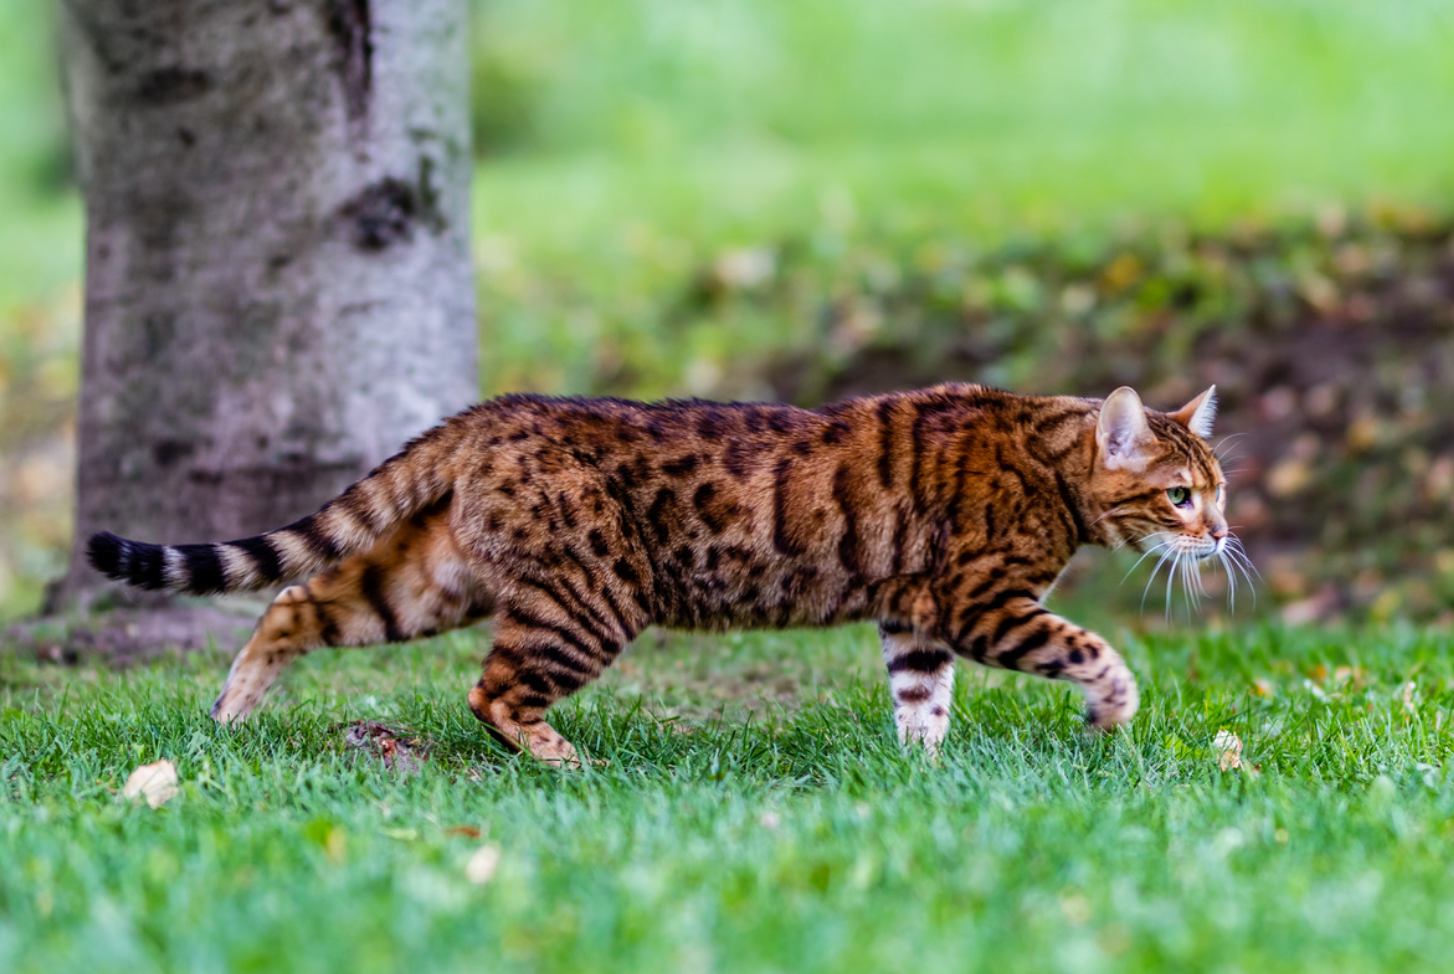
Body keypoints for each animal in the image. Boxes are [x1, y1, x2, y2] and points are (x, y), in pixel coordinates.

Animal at [85, 386, 1232, 767]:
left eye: (1216, 490)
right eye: (1180, 494)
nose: (1221, 535)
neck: (1048, 458)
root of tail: (496, 408)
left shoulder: (913, 615)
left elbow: (922, 704)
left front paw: (924, 777)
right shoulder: (979, 598)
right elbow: (1095, 651)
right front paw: (1110, 716)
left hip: (431, 579)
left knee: (292, 599)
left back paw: (229, 714)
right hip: (589, 600)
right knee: (491, 692)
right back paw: (569, 766)